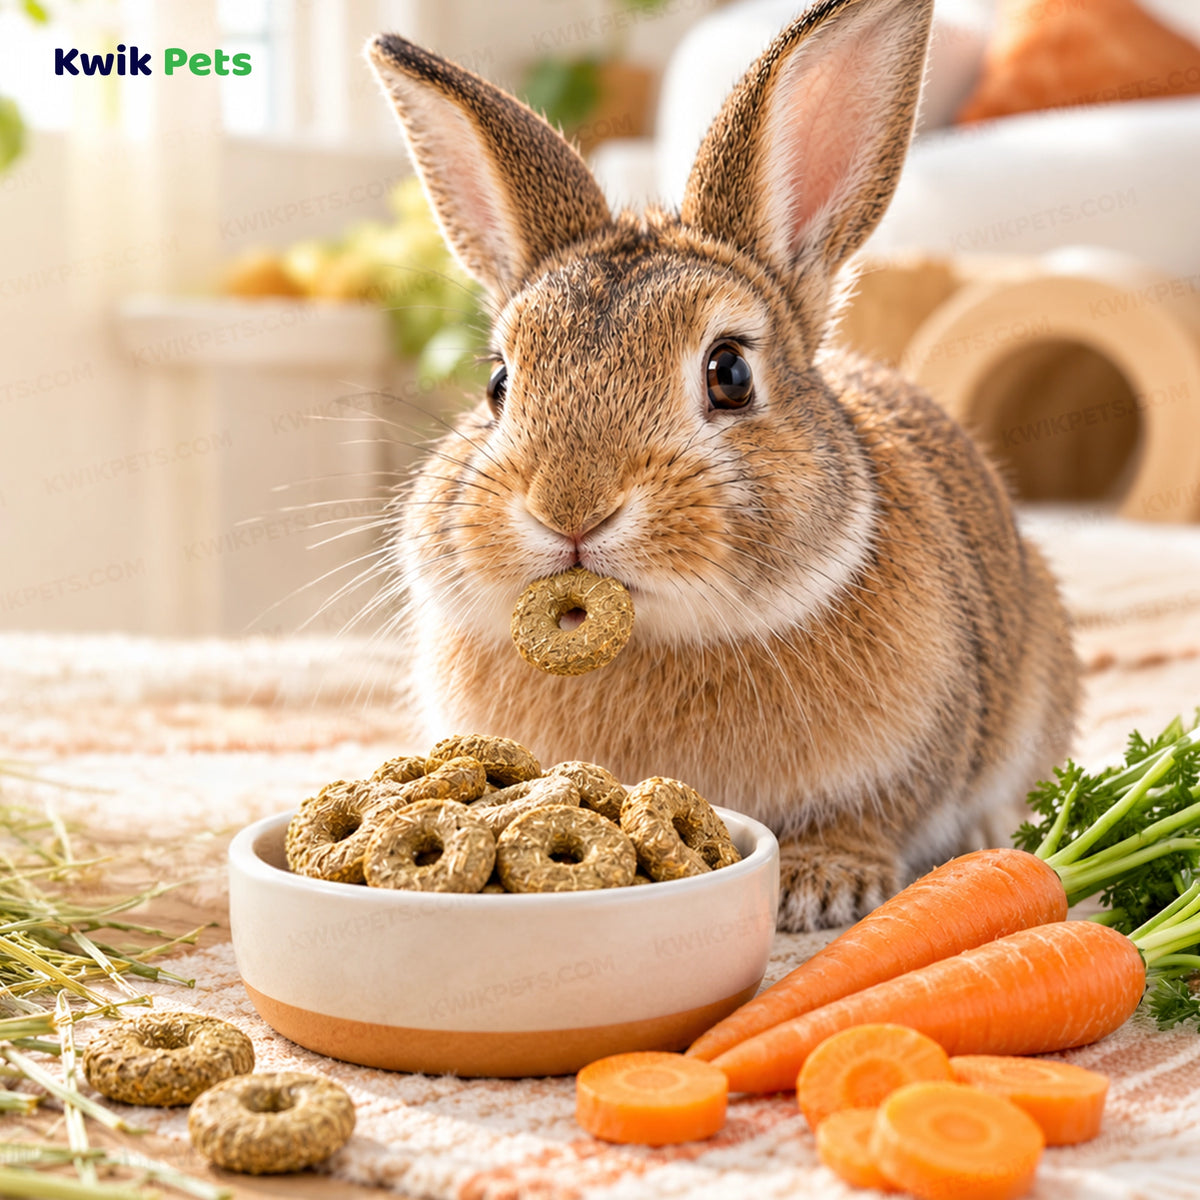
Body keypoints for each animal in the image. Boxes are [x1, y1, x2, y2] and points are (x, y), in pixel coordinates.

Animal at [364, 0, 1080, 932]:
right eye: (498, 382)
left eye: (730, 372)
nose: (571, 508)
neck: (658, 636)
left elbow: (870, 818)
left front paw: (821, 887)